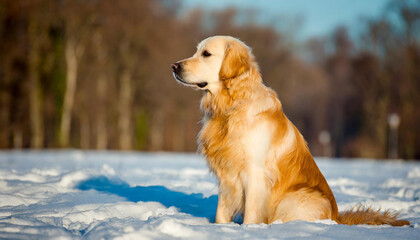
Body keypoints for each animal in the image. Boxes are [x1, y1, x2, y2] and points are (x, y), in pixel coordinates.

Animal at [171, 34, 410, 226]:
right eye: (196, 51)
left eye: (206, 54)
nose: (174, 66)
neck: (231, 107)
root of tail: (337, 217)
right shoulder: (226, 176)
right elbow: (221, 213)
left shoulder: (255, 173)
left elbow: (252, 214)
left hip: (293, 198)